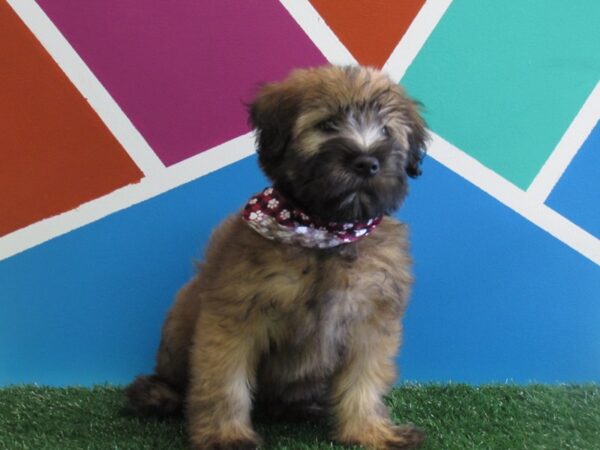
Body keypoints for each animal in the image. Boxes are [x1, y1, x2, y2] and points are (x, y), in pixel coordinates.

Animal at [125, 64, 426, 450]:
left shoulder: (371, 320)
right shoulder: (235, 315)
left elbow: (364, 380)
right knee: (175, 379)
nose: (366, 162)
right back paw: (156, 394)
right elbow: (223, 380)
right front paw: (225, 436)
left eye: (387, 131)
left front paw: (370, 431)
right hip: (180, 320)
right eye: (328, 124)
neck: (324, 231)